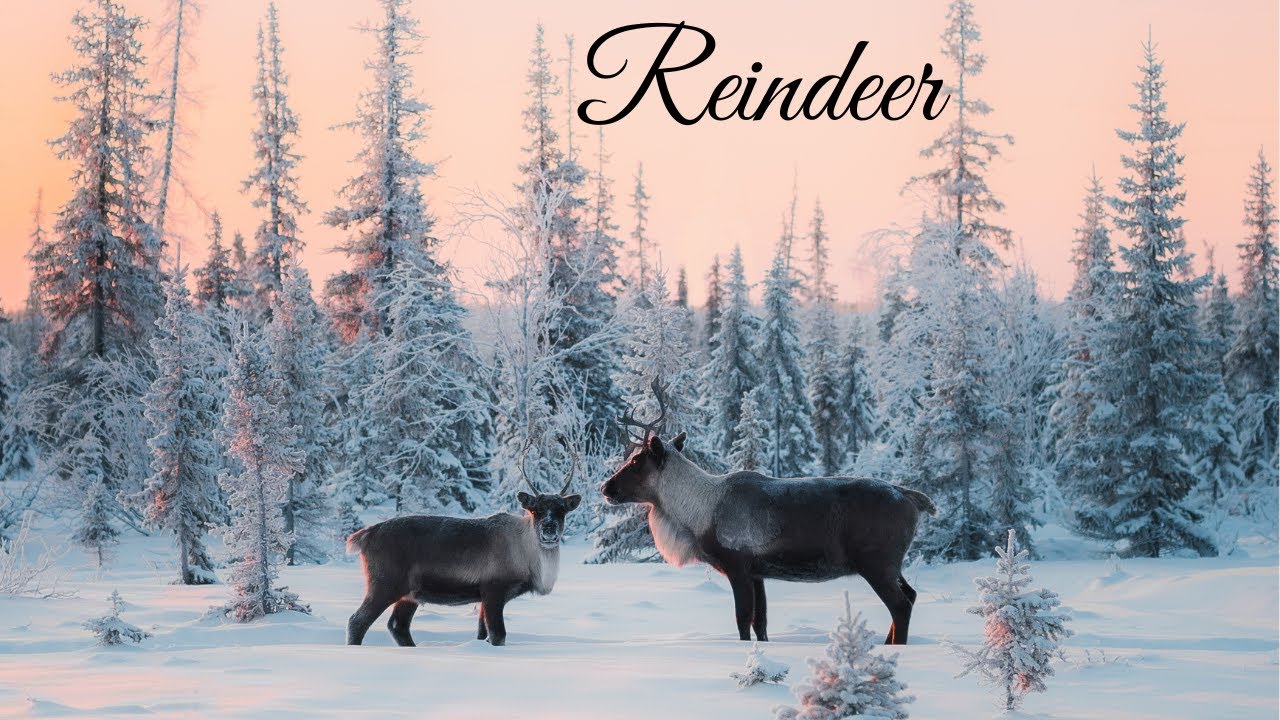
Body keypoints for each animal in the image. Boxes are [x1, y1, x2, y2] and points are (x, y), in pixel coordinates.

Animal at [345, 446, 582, 647]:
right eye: (535, 510)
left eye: (561, 510)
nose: (549, 529)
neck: (528, 557)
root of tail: (365, 535)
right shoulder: (493, 589)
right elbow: (498, 635)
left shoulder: (484, 597)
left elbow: (482, 634)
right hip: (384, 583)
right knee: (357, 621)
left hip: (410, 593)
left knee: (398, 625)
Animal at [599, 380, 936, 645]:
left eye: (636, 461)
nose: (606, 488)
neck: (696, 515)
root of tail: (913, 498)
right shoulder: (758, 572)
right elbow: (760, 623)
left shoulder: (737, 566)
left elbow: (742, 621)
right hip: (892, 563)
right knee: (912, 594)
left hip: (876, 562)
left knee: (901, 605)